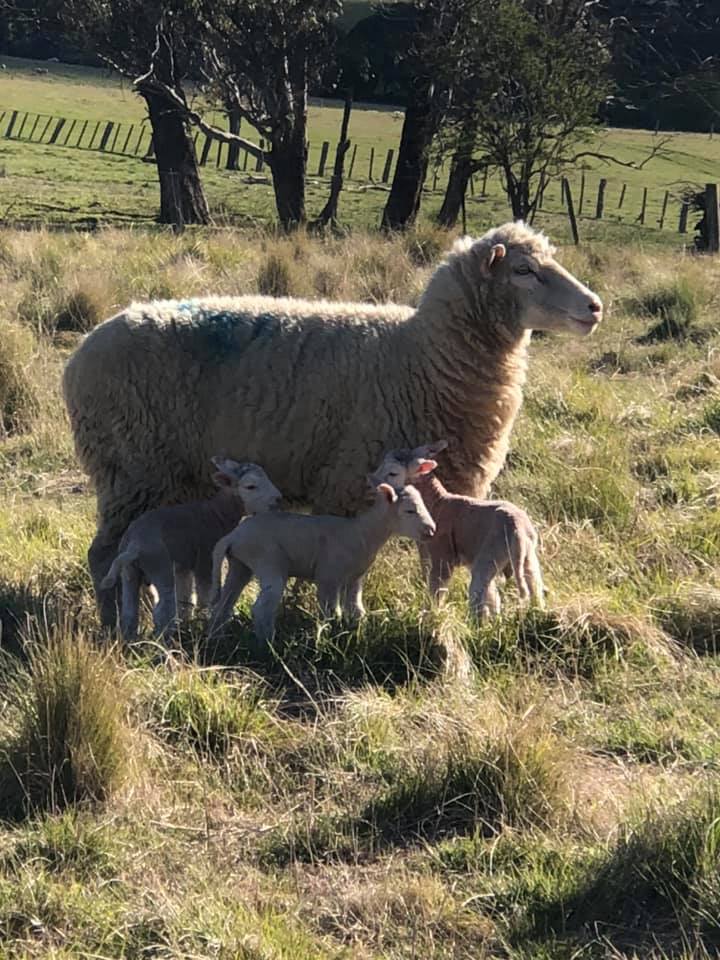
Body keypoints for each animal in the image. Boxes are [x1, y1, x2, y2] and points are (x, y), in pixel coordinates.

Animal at [101, 458, 281, 641]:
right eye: (251, 486)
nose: (278, 499)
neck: (217, 513)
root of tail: (134, 545)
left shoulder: (184, 564)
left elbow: (185, 595)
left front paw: (188, 622)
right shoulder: (206, 559)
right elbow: (205, 596)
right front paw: (202, 621)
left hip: (129, 572)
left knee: (129, 611)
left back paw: (129, 641)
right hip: (159, 564)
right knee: (163, 610)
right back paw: (165, 640)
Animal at [209, 483, 436, 642]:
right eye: (409, 510)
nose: (431, 531)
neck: (362, 532)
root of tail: (234, 536)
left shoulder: (354, 579)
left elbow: (356, 611)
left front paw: (357, 633)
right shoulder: (329, 576)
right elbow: (331, 612)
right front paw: (329, 637)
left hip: (240, 565)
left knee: (224, 603)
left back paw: (217, 637)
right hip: (267, 561)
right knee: (261, 608)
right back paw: (267, 644)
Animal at [370, 441, 544, 619]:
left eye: (393, 473)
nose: (372, 482)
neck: (438, 503)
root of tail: (518, 529)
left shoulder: (442, 555)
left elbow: (436, 589)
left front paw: (429, 616)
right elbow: (492, 597)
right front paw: (494, 616)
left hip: (490, 553)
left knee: (478, 589)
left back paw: (476, 623)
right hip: (527, 556)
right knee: (534, 585)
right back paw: (535, 612)